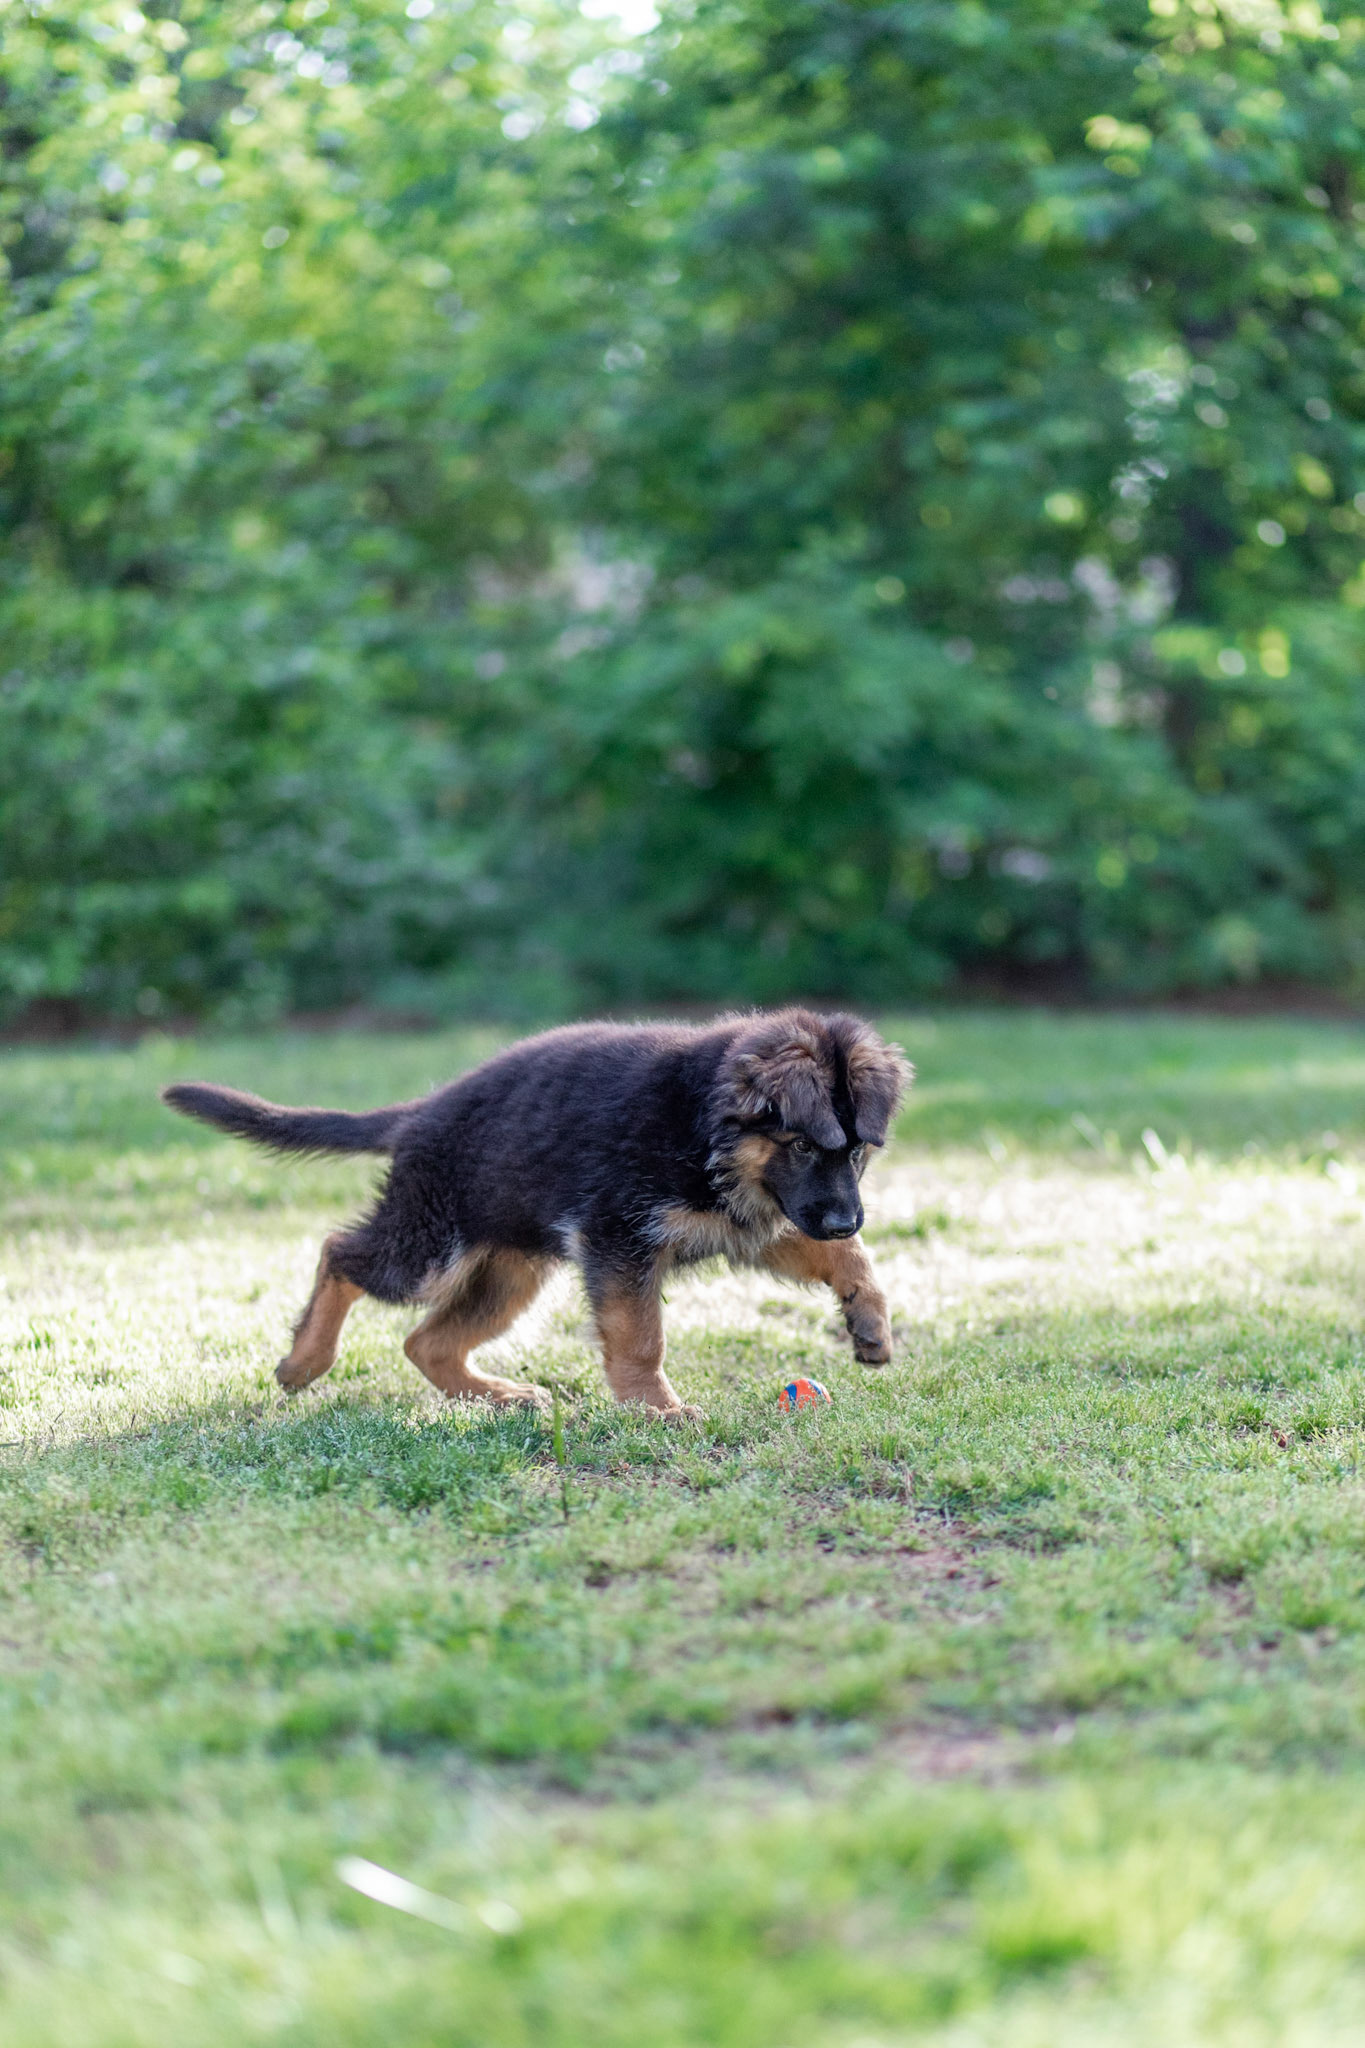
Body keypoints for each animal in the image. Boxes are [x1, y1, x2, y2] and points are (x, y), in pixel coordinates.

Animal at [162, 1009, 911, 1418]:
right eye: (804, 1144)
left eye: (856, 1153)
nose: (848, 1217)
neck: (707, 1125)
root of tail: (421, 1112)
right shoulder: (619, 1239)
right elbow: (640, 1338)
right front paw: (657, 1410)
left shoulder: (758, 1223)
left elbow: (844, 1258)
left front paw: (868, 1320)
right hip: (432, 1251)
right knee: (339, 1253)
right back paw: (303, 1363)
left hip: (509, 1272)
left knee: (425, 1342)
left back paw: (495, 1397)